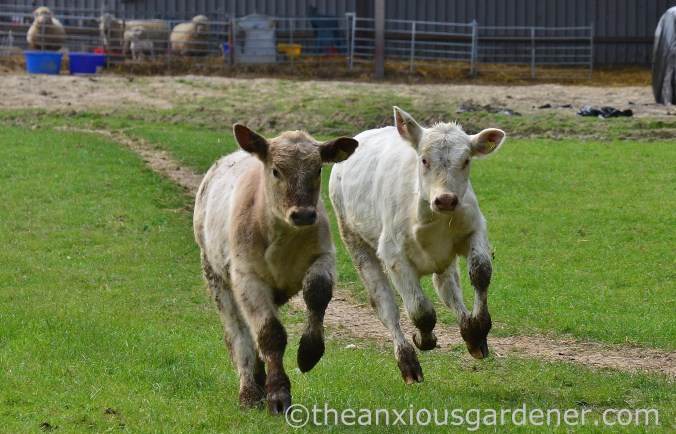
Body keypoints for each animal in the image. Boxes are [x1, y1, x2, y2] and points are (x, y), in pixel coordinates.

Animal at [194, 124, 358, 414]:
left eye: (318, 169)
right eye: (276, 170)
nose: (303, 214)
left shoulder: (324, 256)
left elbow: (317, 293)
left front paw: (309, 353)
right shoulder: (247, 276)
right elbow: (270, 333)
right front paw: (278, 395)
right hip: (215, 275)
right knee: (237, 333)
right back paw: (249, 391)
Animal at [329, 107, 505, 384]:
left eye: (466, 160)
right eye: (423, 160)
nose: (446, 200)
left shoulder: (475, 228)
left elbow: (480, 272)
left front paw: (478, 330)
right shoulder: (393, 254)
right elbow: (420, 309)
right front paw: (424, 339)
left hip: (443, 259)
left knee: (447, 287)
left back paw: (467, 328)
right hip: (353, 239)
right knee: (385, 305)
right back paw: (407, 361)